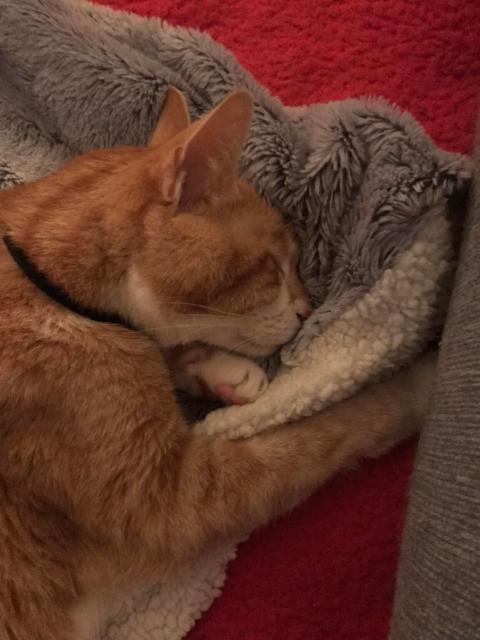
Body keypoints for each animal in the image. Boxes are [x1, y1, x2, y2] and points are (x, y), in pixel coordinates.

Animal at [0, 87, 436, 639]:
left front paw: (220, 371)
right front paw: (420, 384)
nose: (307, 310)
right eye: (272, 268)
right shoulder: (172, 503)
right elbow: (321, 435)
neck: (48, 283)